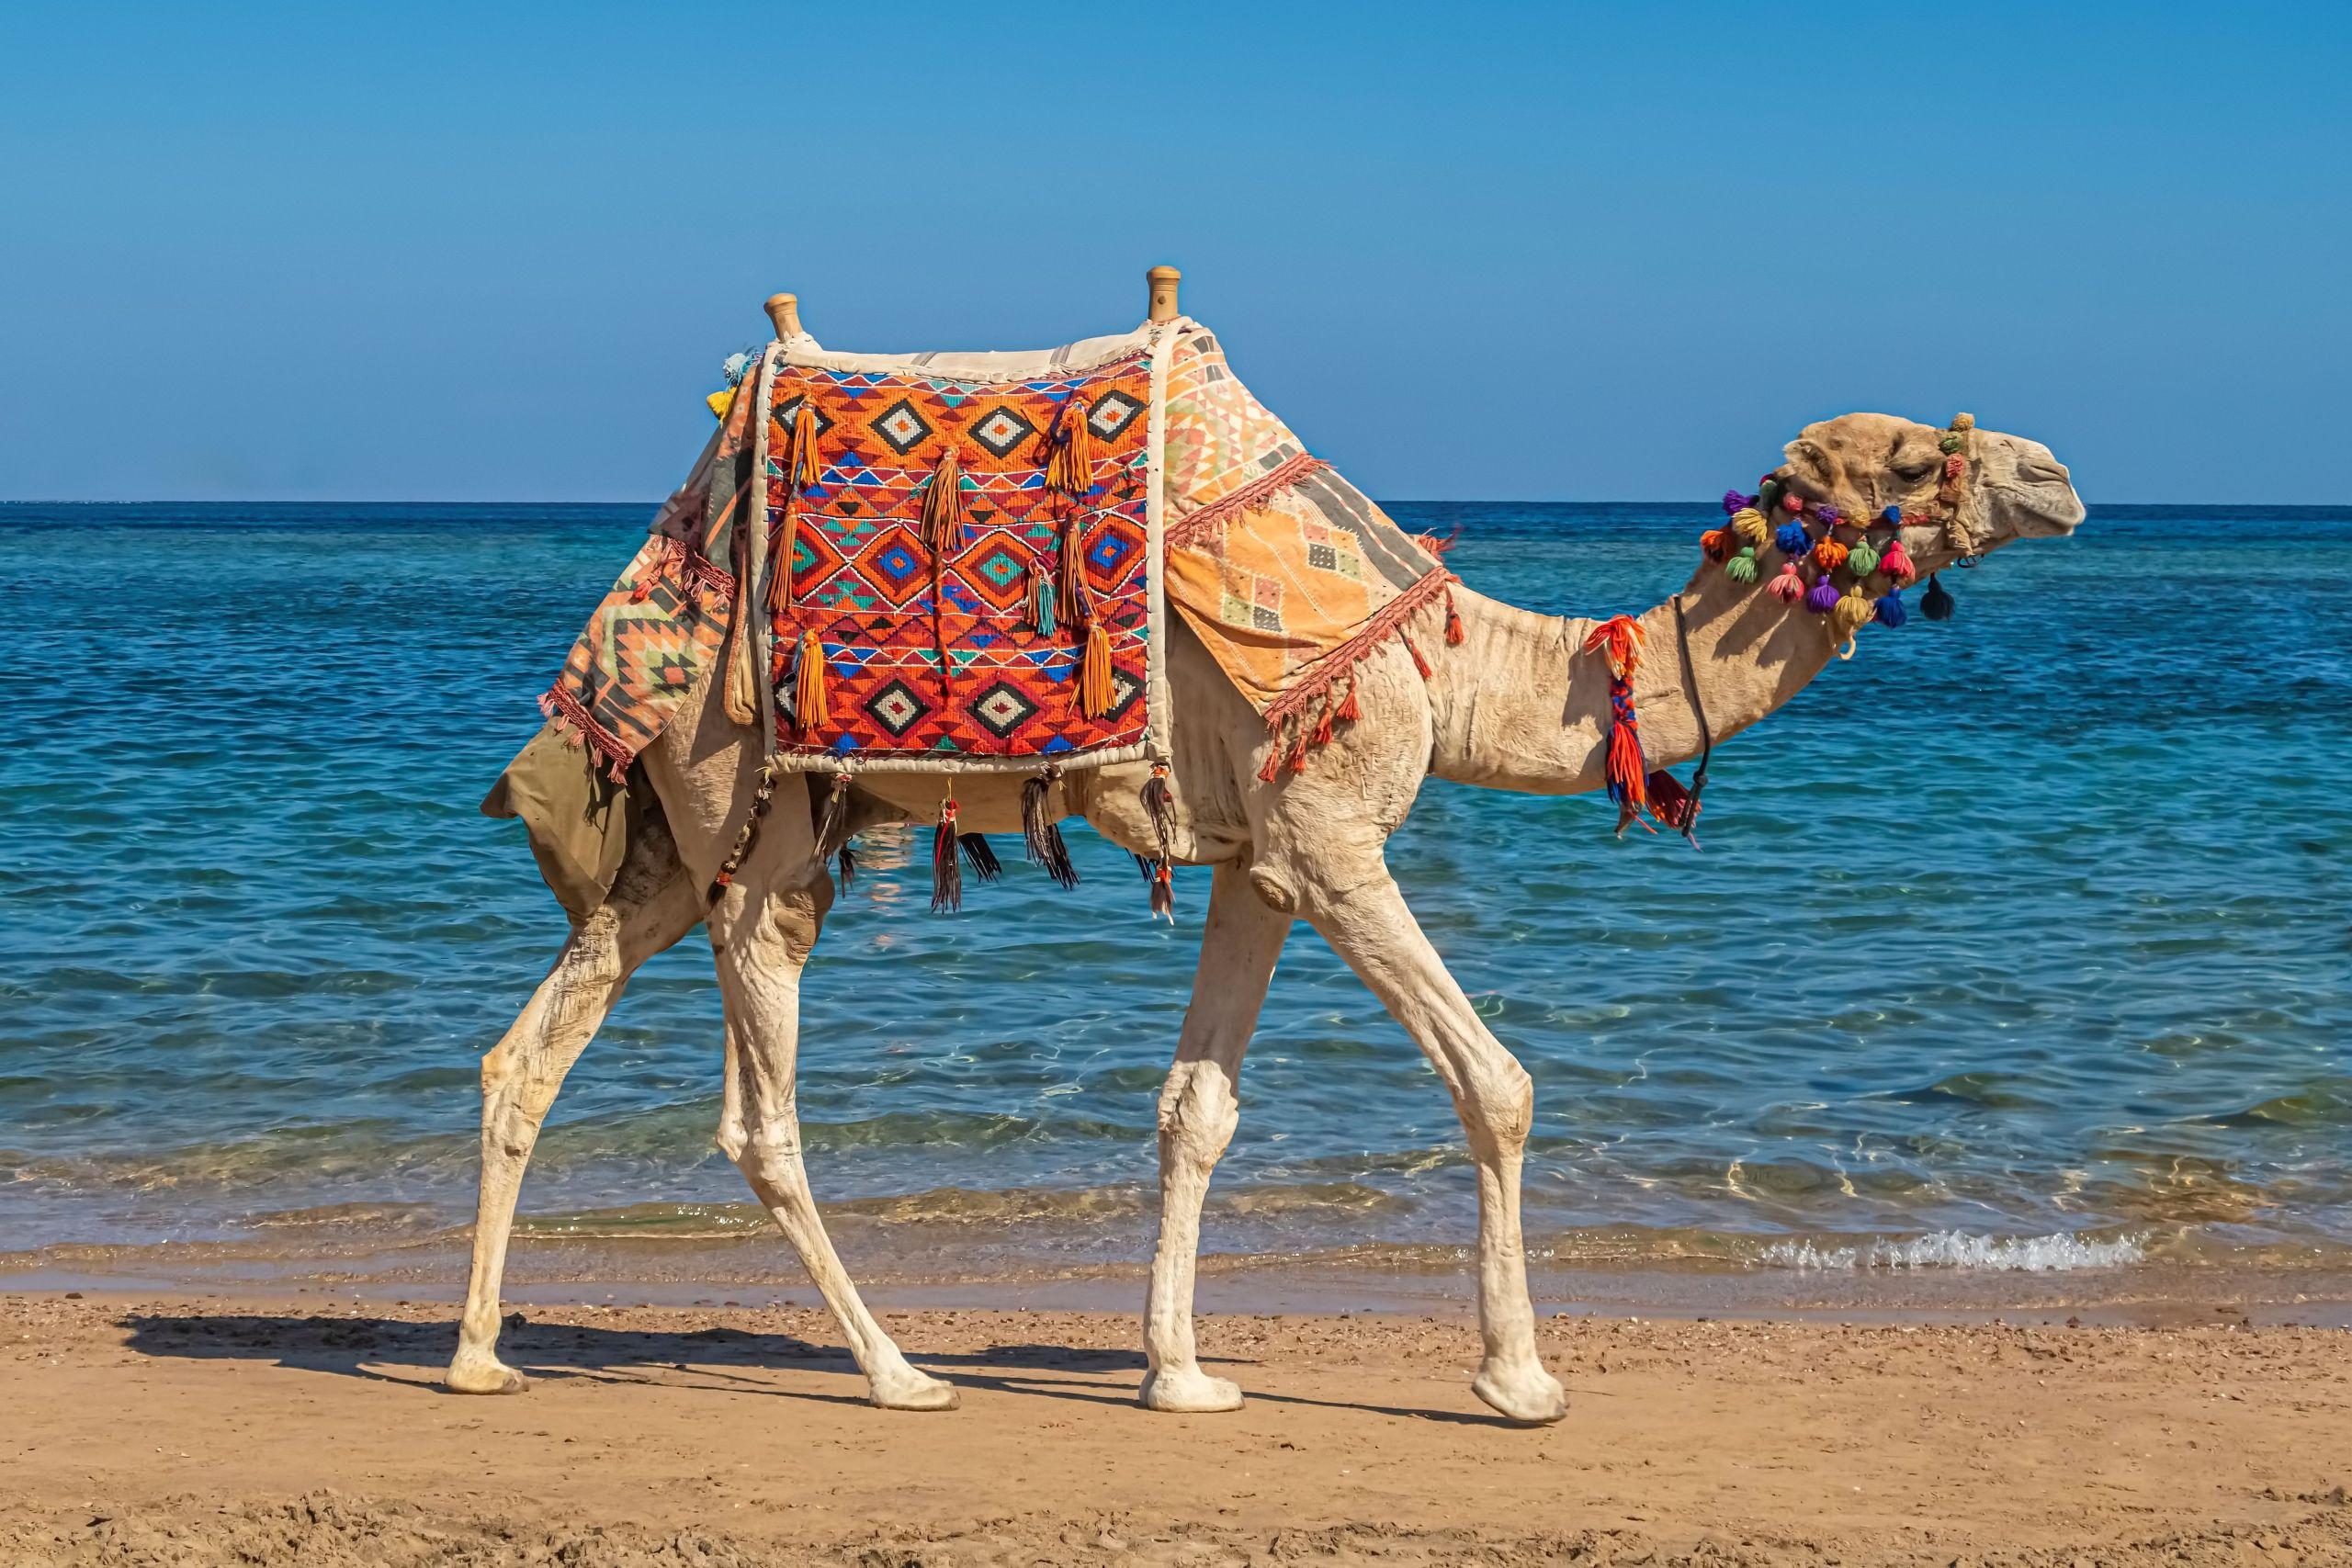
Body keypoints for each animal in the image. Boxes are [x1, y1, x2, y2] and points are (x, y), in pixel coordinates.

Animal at [445, 280, 2086, 1422]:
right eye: (1910, 460)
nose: (2060, 473)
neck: (1453, 655)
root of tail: (652, 579)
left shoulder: (1256, 859)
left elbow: (1195, 1109)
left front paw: (1179, 1372)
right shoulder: (1338, 840)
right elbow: (1497, 1082)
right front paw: (1518, 1377)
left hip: (678, 833)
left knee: (534, 1045)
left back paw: (475, 1357)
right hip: (757, 806)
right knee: (758, 1112)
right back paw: (900, 1369)